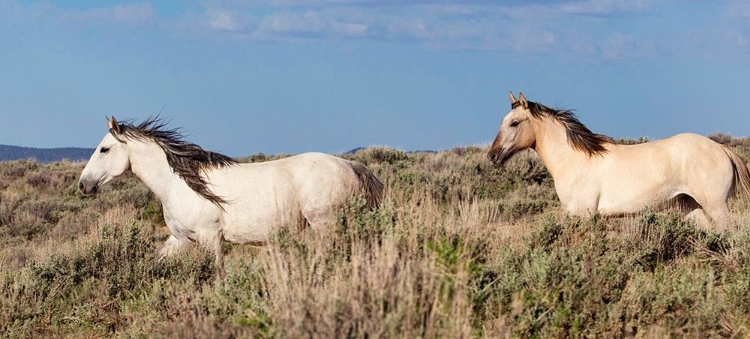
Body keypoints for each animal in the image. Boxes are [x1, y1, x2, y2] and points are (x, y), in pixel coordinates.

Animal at [80, 117, 384, 274]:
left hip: (325, 224)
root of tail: (350, 165)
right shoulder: (181, 239)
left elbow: (217, 271)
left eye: (104, 149)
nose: (83, 185)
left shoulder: (210, 237)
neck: (180, 184)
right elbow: (158, 259)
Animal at [490, 91, 750, 230]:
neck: (573, 159)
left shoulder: (583, 213)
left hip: (716, 206)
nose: (492, 155)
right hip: (692, 207)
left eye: (514, 123)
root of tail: (721, 148)